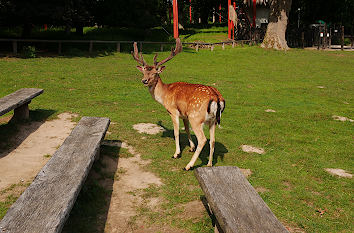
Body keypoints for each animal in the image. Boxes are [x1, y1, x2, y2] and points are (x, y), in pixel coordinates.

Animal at [131, 37, 225, 169]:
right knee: (212, 140)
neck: (164, 95)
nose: (144, 80)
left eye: (155, 73)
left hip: (196, 117)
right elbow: (186, 129)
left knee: (203, 139)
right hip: (213, 120)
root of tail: (216, 97)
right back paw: (209, 164)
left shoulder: (173, 111)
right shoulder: (184, 115)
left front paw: (176, 153)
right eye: (143, 72)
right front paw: (191, 147)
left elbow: (176, 132)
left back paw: (188, 165)